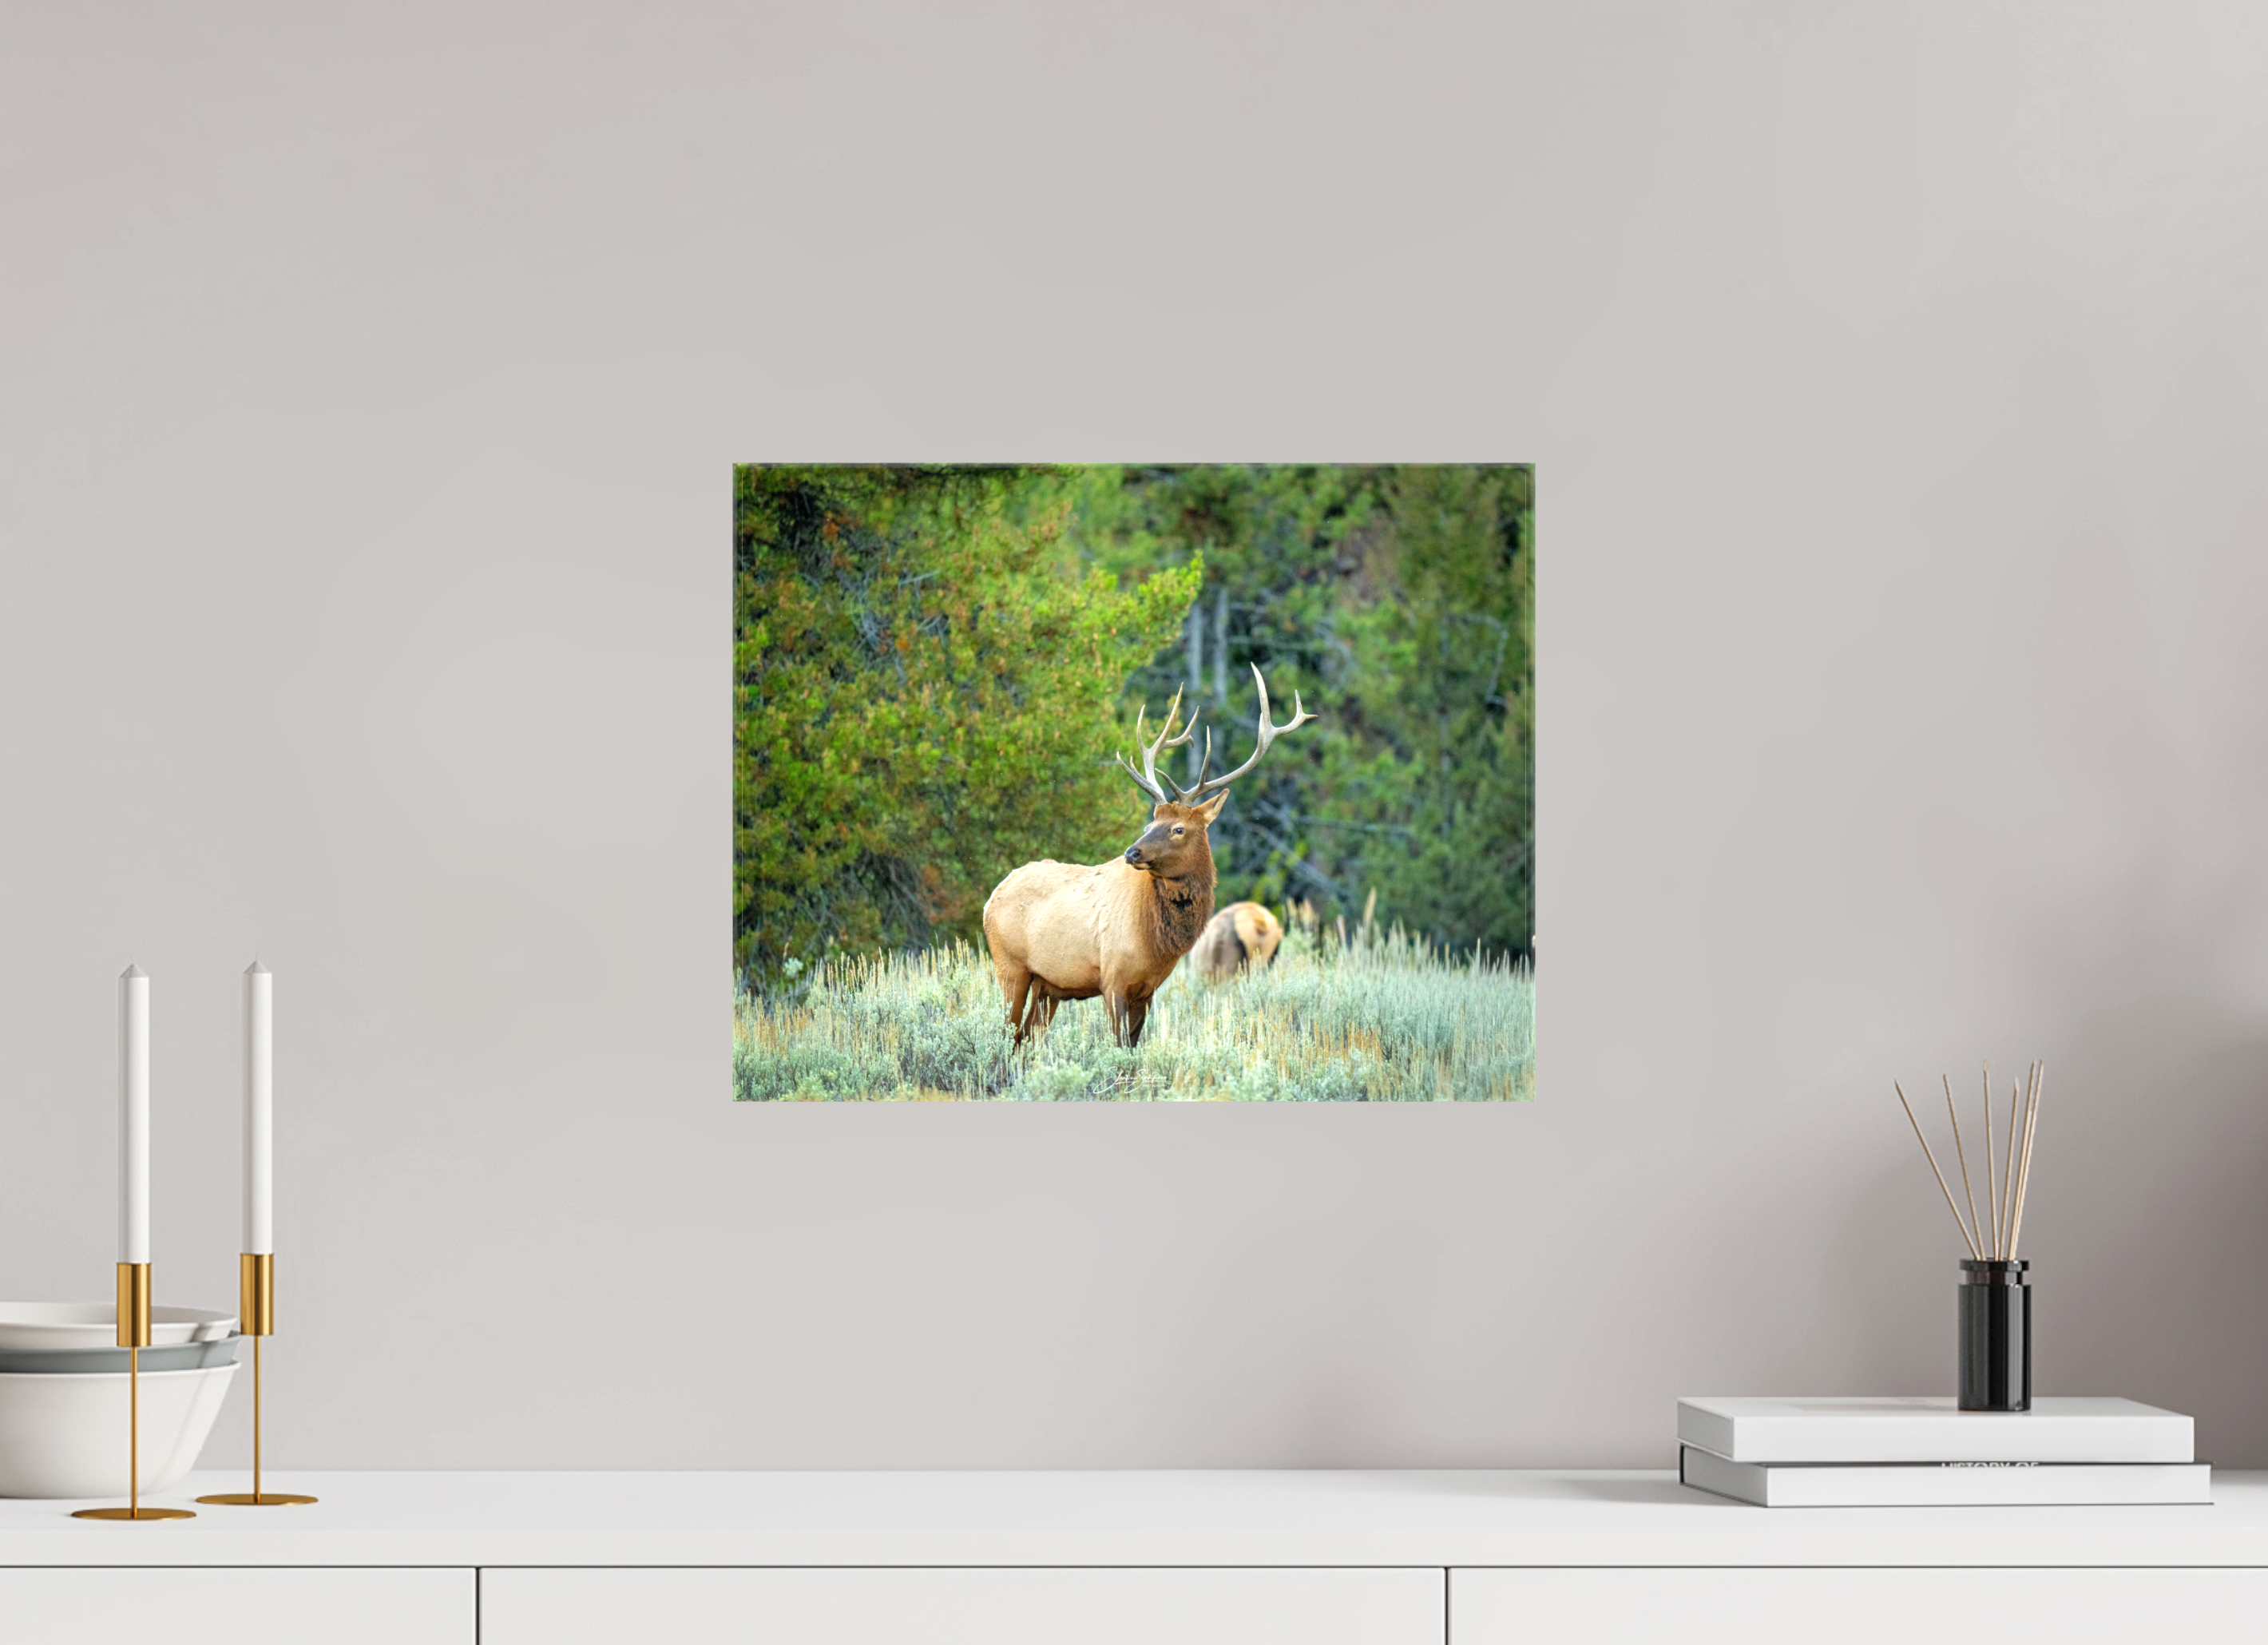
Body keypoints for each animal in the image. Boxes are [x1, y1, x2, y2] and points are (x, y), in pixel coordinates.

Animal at [982, 665, 1315, 1048]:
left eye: (1178, 829)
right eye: (1150, 822)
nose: (1132, 851)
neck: (1156, 944)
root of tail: (990, 900)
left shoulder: (1148, 989)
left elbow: (1134, 1047)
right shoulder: (1113, 978)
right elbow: (1119, 1047)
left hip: (1047, 986)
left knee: (1025, 1040)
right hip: (1010, 967)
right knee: (1007, 1033)